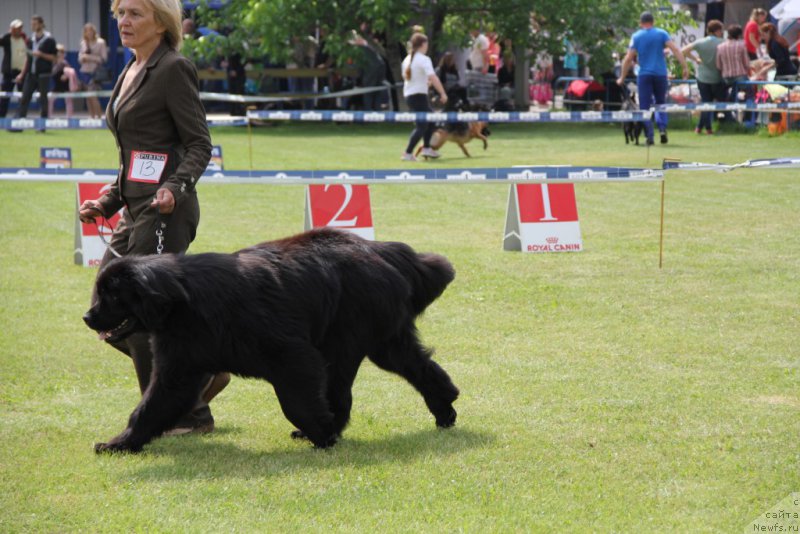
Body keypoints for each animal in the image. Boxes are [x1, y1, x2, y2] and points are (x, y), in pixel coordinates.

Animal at [84, 228, 460, 454]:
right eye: (100, 292)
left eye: (112, 295)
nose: (87, 317)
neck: (186, 303)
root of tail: (378, 249)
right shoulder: (178, 367)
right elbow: (149, 408)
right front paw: (121, 443)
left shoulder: (292, 356)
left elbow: (296, 402)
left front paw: (322, 433)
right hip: (384, 341)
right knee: (421, 368)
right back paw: (445, 409)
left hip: (345, 343)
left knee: (344, 392)